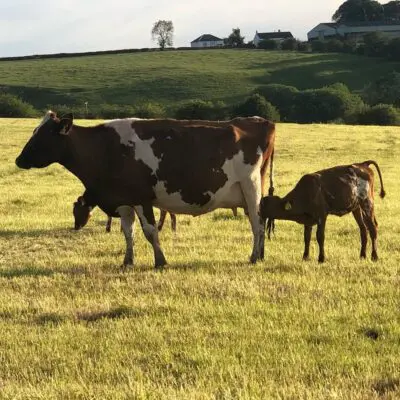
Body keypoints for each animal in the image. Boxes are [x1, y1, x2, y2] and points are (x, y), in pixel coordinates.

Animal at [17, 112, 276, 268]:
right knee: (260, 221)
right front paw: (128, 261)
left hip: (251, 186)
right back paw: (261, 254)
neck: (105, 149)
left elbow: (150, 231)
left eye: (42, 135)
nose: (19, 160)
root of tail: (260, 121)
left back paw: (254, 257)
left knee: (257, 222)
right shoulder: (123, 200)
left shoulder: (142, 198)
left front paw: (160, 261)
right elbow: (128, 232)